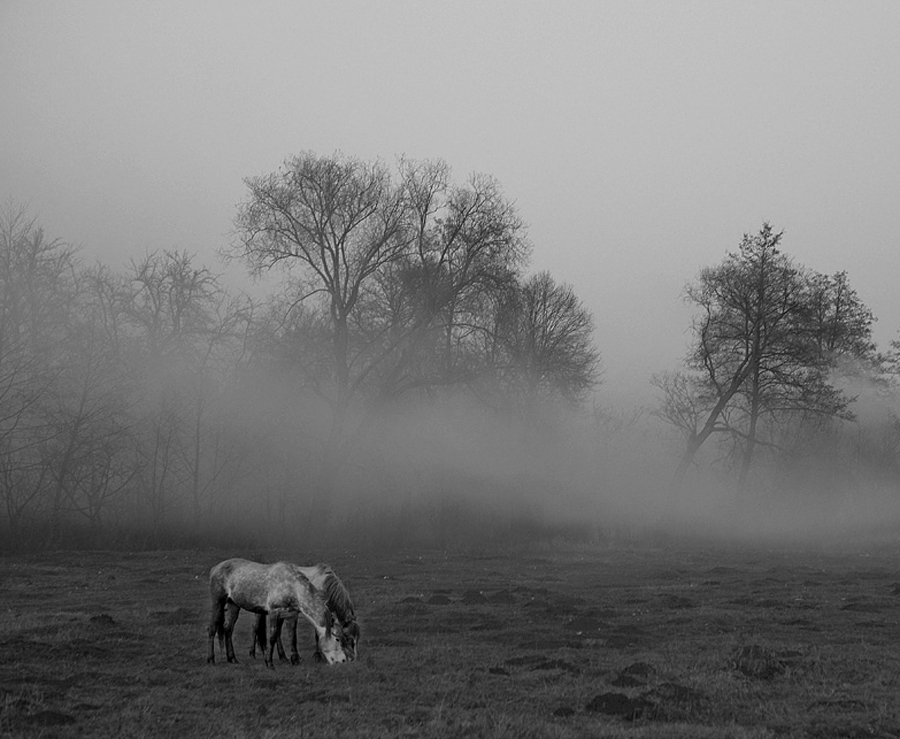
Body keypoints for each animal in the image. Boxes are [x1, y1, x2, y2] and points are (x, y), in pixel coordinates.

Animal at [207, 556, 348, 668]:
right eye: (337, 639)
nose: (343, 660)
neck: (292, 587)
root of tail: (215, 568)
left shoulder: (290, 614)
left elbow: (292, 636)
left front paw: (294, 660)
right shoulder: (274, 612)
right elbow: (273, 637)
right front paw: (269, 663)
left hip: (233, 605)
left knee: (228, 629)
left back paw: (232, 659)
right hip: (218, 602)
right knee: (212, 628)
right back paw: (211, 659)